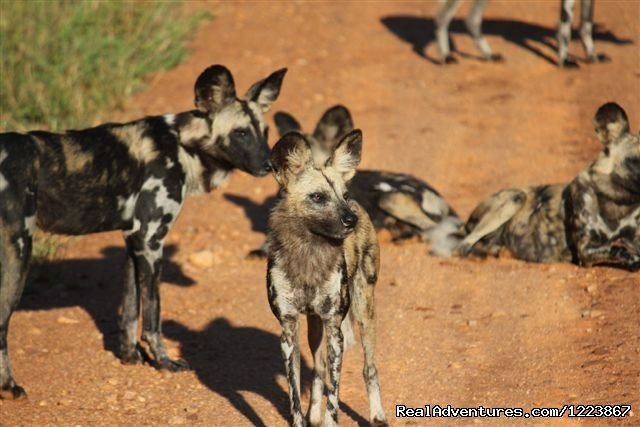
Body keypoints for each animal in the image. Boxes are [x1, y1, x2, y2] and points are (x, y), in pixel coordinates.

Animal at [0, 65, 286, 400]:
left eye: (265, 132)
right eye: (240, 133)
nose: (270, 165)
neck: (182, 144)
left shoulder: (133, 240)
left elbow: (129, 311)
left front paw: (130, 358)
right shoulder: (150, 242)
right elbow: (152, 316)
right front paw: (164, 362)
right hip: (19, 252)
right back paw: (9, 387)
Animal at [266, 131, 388, 427]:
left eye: (343, 195)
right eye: (318, 197)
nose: (350, 220)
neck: (309, 254)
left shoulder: (335, 330)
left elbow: (335, 394)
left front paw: (330, 419)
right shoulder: (289, 331)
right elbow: (295, 395)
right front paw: (304, 418)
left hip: (364, 312)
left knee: (369, 367)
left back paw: (377, 415)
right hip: (314, 326)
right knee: (319, 369)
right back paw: (314, 414)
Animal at [436, 0, 608, 67]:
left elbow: (586, 24)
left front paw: (592, 56)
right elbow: (565, 29)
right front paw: (564, 62)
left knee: (471, 20)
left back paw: (489, 55)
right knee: (442, 17)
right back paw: (445, 56)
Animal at [458, 102, 636, 270]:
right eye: (633, 161)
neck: (619, 204)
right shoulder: (585, 251)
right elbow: (619, 250)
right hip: (514, 198)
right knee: (464, 246)